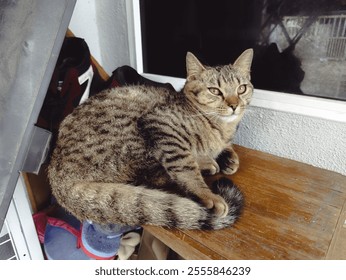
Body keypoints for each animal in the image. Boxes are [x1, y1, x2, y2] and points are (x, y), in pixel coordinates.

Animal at [48, 49, 254, 230]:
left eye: (241, 89)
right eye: (215, 91)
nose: (234, 105)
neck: (220, 127)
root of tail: (56, 175)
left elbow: (224, 148)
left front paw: (229, 157)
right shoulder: (162, 124)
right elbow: (185, 168)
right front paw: (207, 194)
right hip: (136, 134)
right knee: (155, 176)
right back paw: (205, 165)